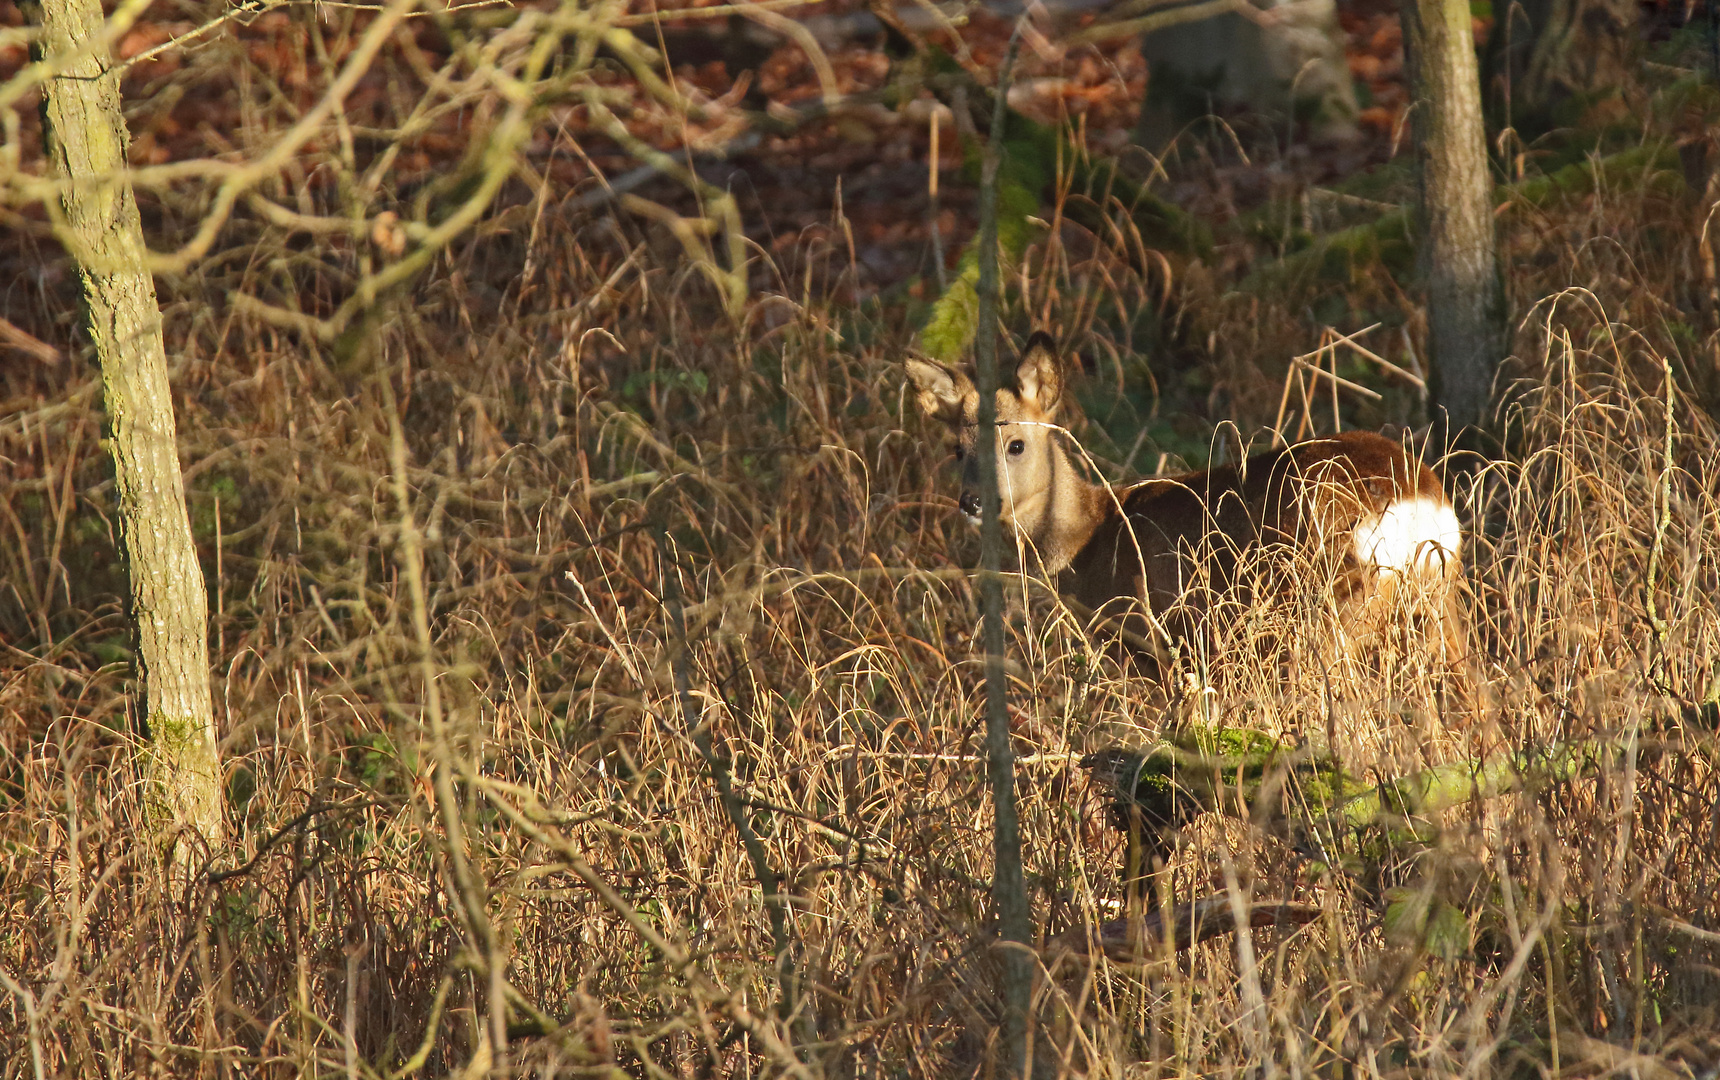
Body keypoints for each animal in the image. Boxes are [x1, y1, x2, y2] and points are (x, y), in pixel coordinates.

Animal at [901, 333, 1465, 663]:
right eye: (956, 450)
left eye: (1015, 444)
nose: (972, 502)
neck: (1090, 541)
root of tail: (1418, 498)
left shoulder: (1157, 637)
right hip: (1438, 600)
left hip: (1332, 602)